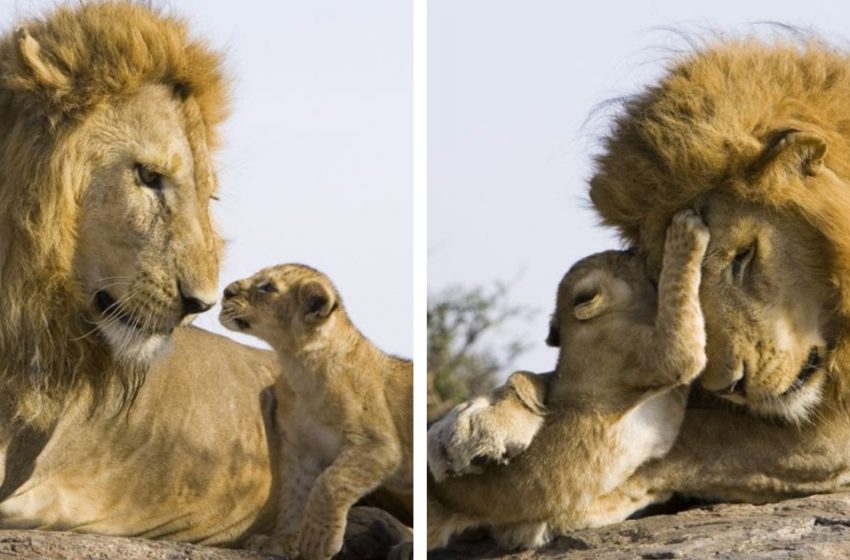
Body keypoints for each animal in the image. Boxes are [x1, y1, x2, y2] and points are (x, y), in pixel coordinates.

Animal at [430, 39, 850, 524]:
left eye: (743, 256)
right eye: (660, 272)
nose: (731, 388)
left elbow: (696, 429)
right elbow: (567, 375)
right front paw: (473, 421)